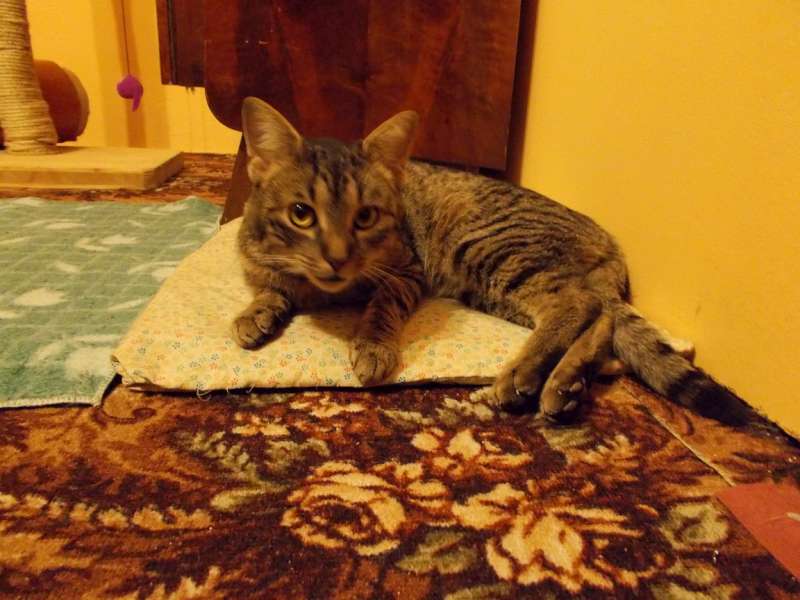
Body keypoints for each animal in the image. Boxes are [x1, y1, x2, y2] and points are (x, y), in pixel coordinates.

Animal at [231, 96, 754, 426]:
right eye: (302, 214)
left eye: (365, 217)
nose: (338, 258)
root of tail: (610, 243)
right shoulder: (257, 259)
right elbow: (269, 283)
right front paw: (256, 313)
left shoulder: (406, 271)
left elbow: (380, 307)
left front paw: (373, 346)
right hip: (496, 289)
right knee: (599, 317)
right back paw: (564, 384)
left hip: (489, 252)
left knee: (576, 304)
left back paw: (523, 378)